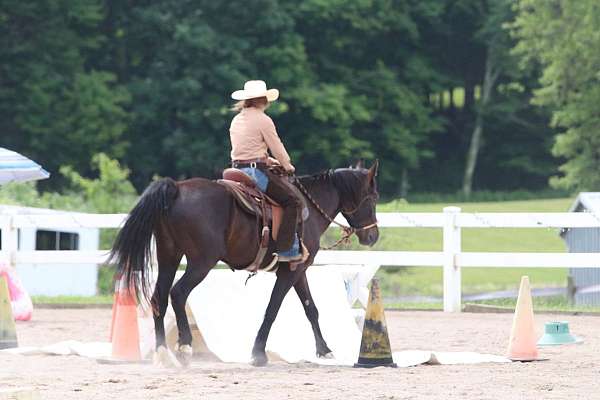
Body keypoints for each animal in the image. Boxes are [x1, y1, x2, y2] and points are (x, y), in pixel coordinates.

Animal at [108, 161, 380, 368]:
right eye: (373, 198)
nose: (373, 236)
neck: (308, 210)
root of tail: (176, 189)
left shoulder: (298, 270)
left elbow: (311, 308)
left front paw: (324, 350)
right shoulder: (289, 273)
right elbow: (272, 309)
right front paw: (258, 353)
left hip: (169, 256)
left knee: (159, 297)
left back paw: (163, 352)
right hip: (201, 262)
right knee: (178, 293)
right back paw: (184, 347)